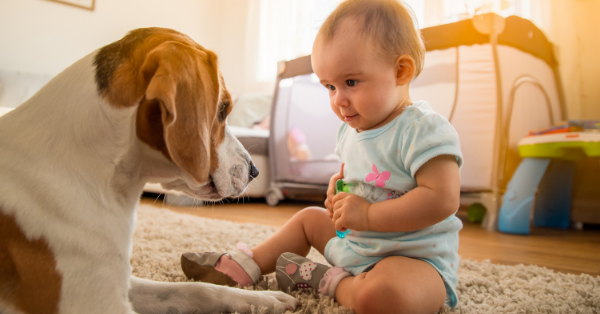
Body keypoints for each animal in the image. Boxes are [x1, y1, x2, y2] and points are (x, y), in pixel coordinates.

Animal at [0, 27, 298, 314]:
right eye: (223, 110)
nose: (255, 171)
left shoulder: (123, 281)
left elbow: (198, 289)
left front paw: (262, 299)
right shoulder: (99, 302)